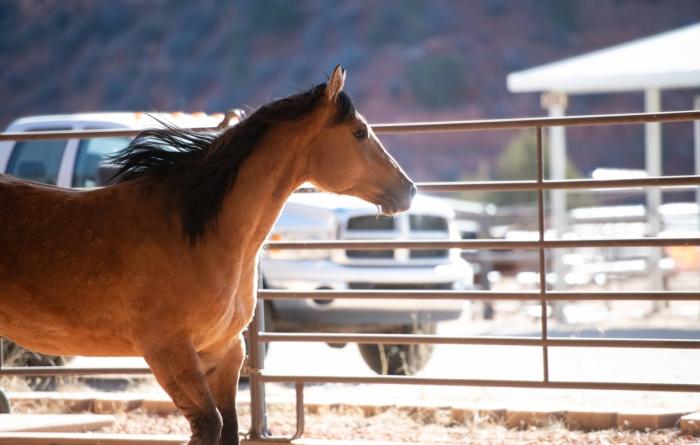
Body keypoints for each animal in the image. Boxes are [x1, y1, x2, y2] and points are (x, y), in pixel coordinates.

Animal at [0, 65, 415, 445]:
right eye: (359, 132)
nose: (407, 190)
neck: (196, 234)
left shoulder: (224, 352)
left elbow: (228, 427)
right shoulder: (169, 353)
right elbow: (209, 425)